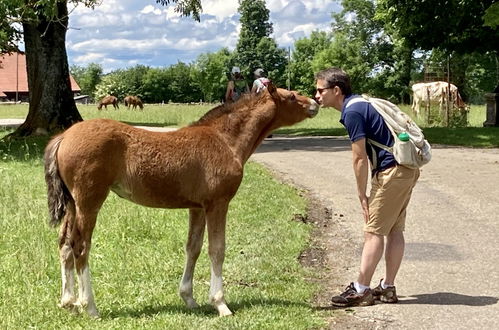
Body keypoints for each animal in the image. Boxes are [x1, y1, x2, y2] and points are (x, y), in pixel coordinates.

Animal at [42, 84, 316, 318]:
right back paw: (89, 306)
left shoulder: (198, 207)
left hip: (73, 204)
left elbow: (193, 248)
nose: (314, 103)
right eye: (292, 96)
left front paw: (189, 298)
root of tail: (63, 137)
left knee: (64, 243)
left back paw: (68, 302)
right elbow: (217, 249)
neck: (225, 140)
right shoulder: (218, 203)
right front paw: (221, 304)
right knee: (80, 246)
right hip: (89, 201)